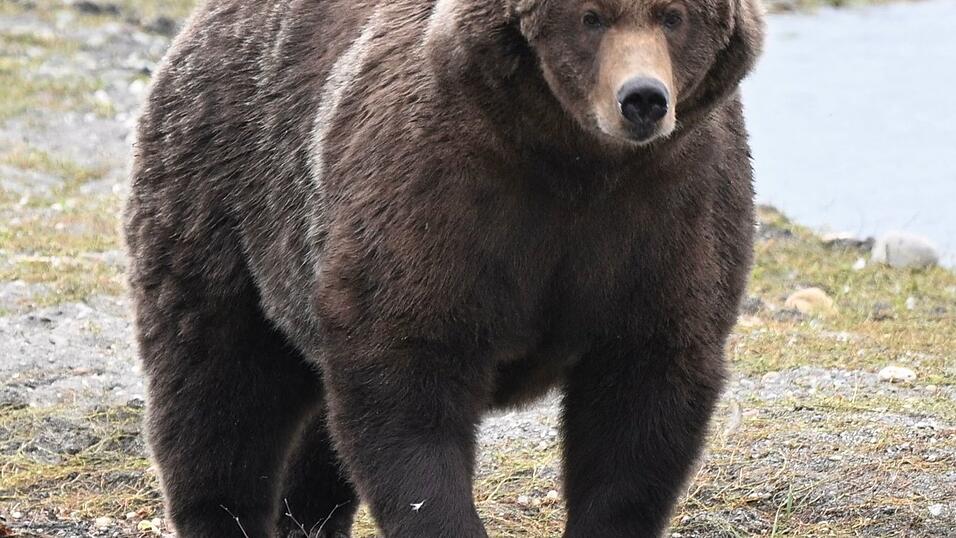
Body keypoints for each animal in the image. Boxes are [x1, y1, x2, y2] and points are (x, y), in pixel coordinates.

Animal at [124, 0, 764, 536]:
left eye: (673, 16)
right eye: (591, 17)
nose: (643, 99)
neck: (576, 163)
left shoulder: (669, 214)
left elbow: (642, 400)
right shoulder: (438, 195)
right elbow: (408, 380)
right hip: (227, 199)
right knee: (219, 385)